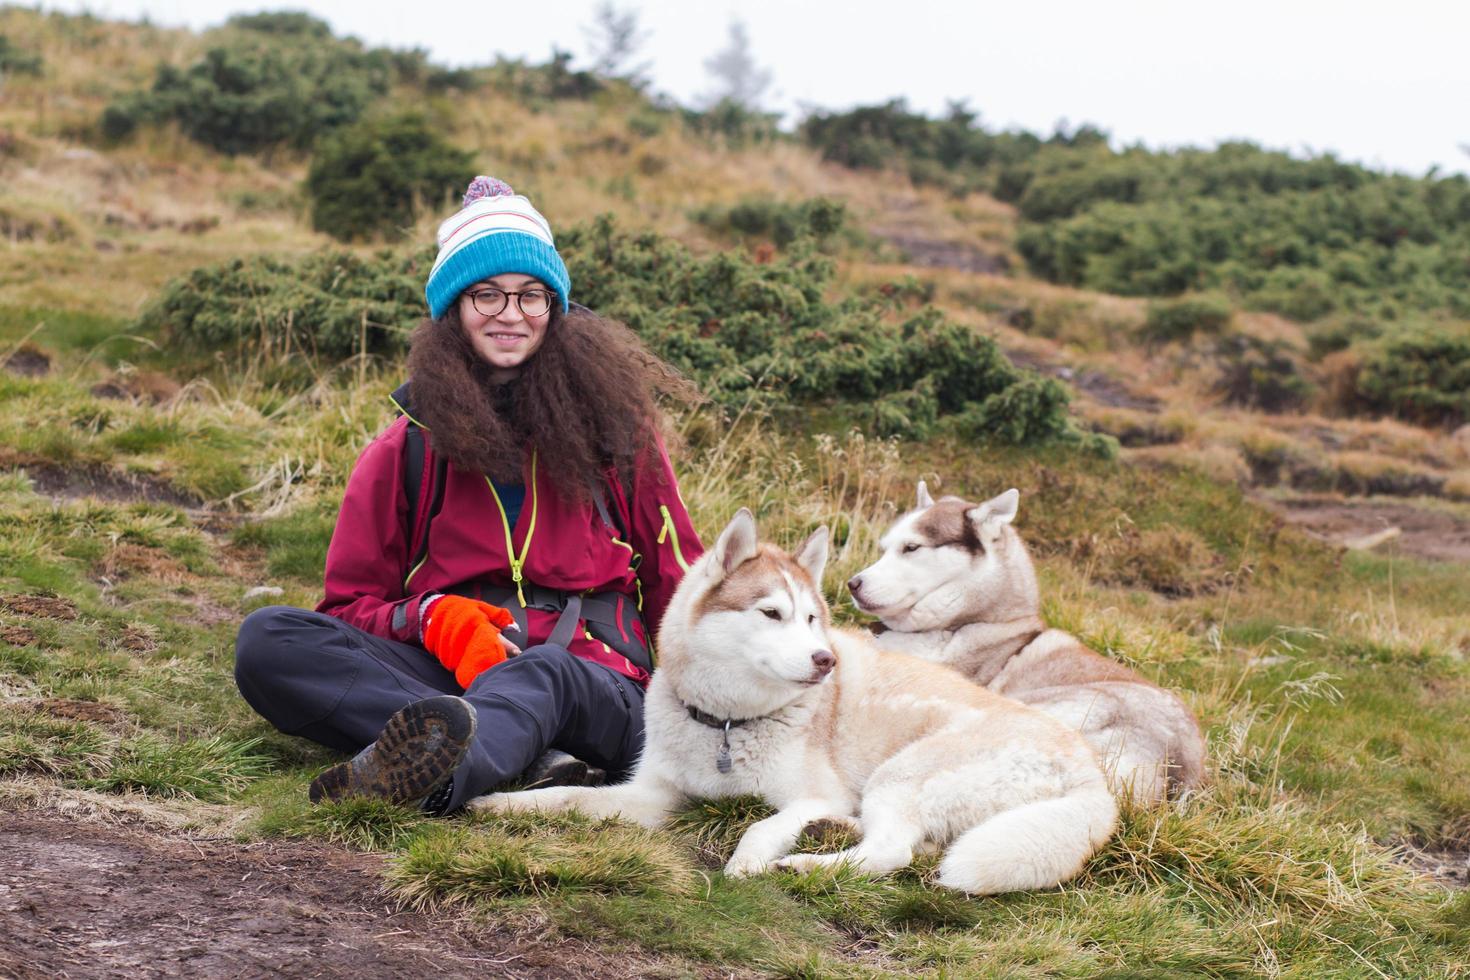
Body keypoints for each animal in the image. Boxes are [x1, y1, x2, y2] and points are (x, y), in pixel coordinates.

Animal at [476, 511, 1117, 893]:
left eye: (812, 618)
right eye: (771, 613)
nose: (824, 659)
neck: (727, 725)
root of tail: (1094, 777)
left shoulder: (811, 793)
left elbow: (761, 826)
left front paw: (749, 862)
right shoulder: (653, 796)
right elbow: (565, 798)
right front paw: (498, 804)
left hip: (899, 776)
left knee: (891, 852)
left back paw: (807, 863)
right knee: (910, 843)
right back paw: (830, 833)